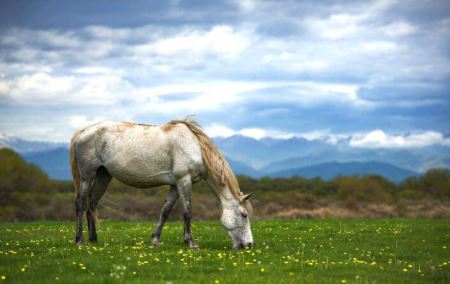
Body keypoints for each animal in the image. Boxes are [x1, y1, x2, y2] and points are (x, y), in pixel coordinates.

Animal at [70, 118, 253, 250]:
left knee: (92, 204)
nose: (249, 245)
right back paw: (79, 240)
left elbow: (165, 211)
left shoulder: (175, 185)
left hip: (103, 175)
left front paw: (155, 239)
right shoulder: (184, 180)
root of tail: (82, 132)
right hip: (87, 176)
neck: (194, 146)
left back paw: (94, 239)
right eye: (244, 214)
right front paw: (191, 242)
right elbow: (187, 212)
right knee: (80, 204)